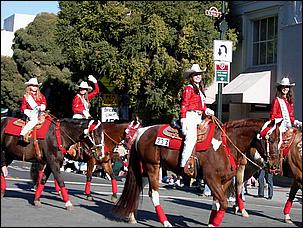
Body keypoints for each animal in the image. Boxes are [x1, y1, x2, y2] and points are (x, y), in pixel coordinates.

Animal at [114, 117, 282, 226]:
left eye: (280, 139)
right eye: (271, 139)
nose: (275, 165)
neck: (225, 145)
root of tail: (141, 132)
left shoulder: (225, 180)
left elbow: (217, 204)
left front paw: (212, 222)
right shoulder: (211, 178)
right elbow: (223, 203)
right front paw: (213, 224)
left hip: (144, 169)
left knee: (137, 187)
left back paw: (132, 216)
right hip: (152, 166)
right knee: (153, 194)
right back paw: (165, 222)